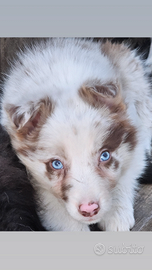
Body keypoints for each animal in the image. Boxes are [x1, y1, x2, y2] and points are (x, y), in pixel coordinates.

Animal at [1, 38, 152, 231]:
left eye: (105, 156)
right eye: (56, 164)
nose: (90, 209)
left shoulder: (133, 134)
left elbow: (127, 172)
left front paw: (117, 213)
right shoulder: (34, 179)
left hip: (132, 70)